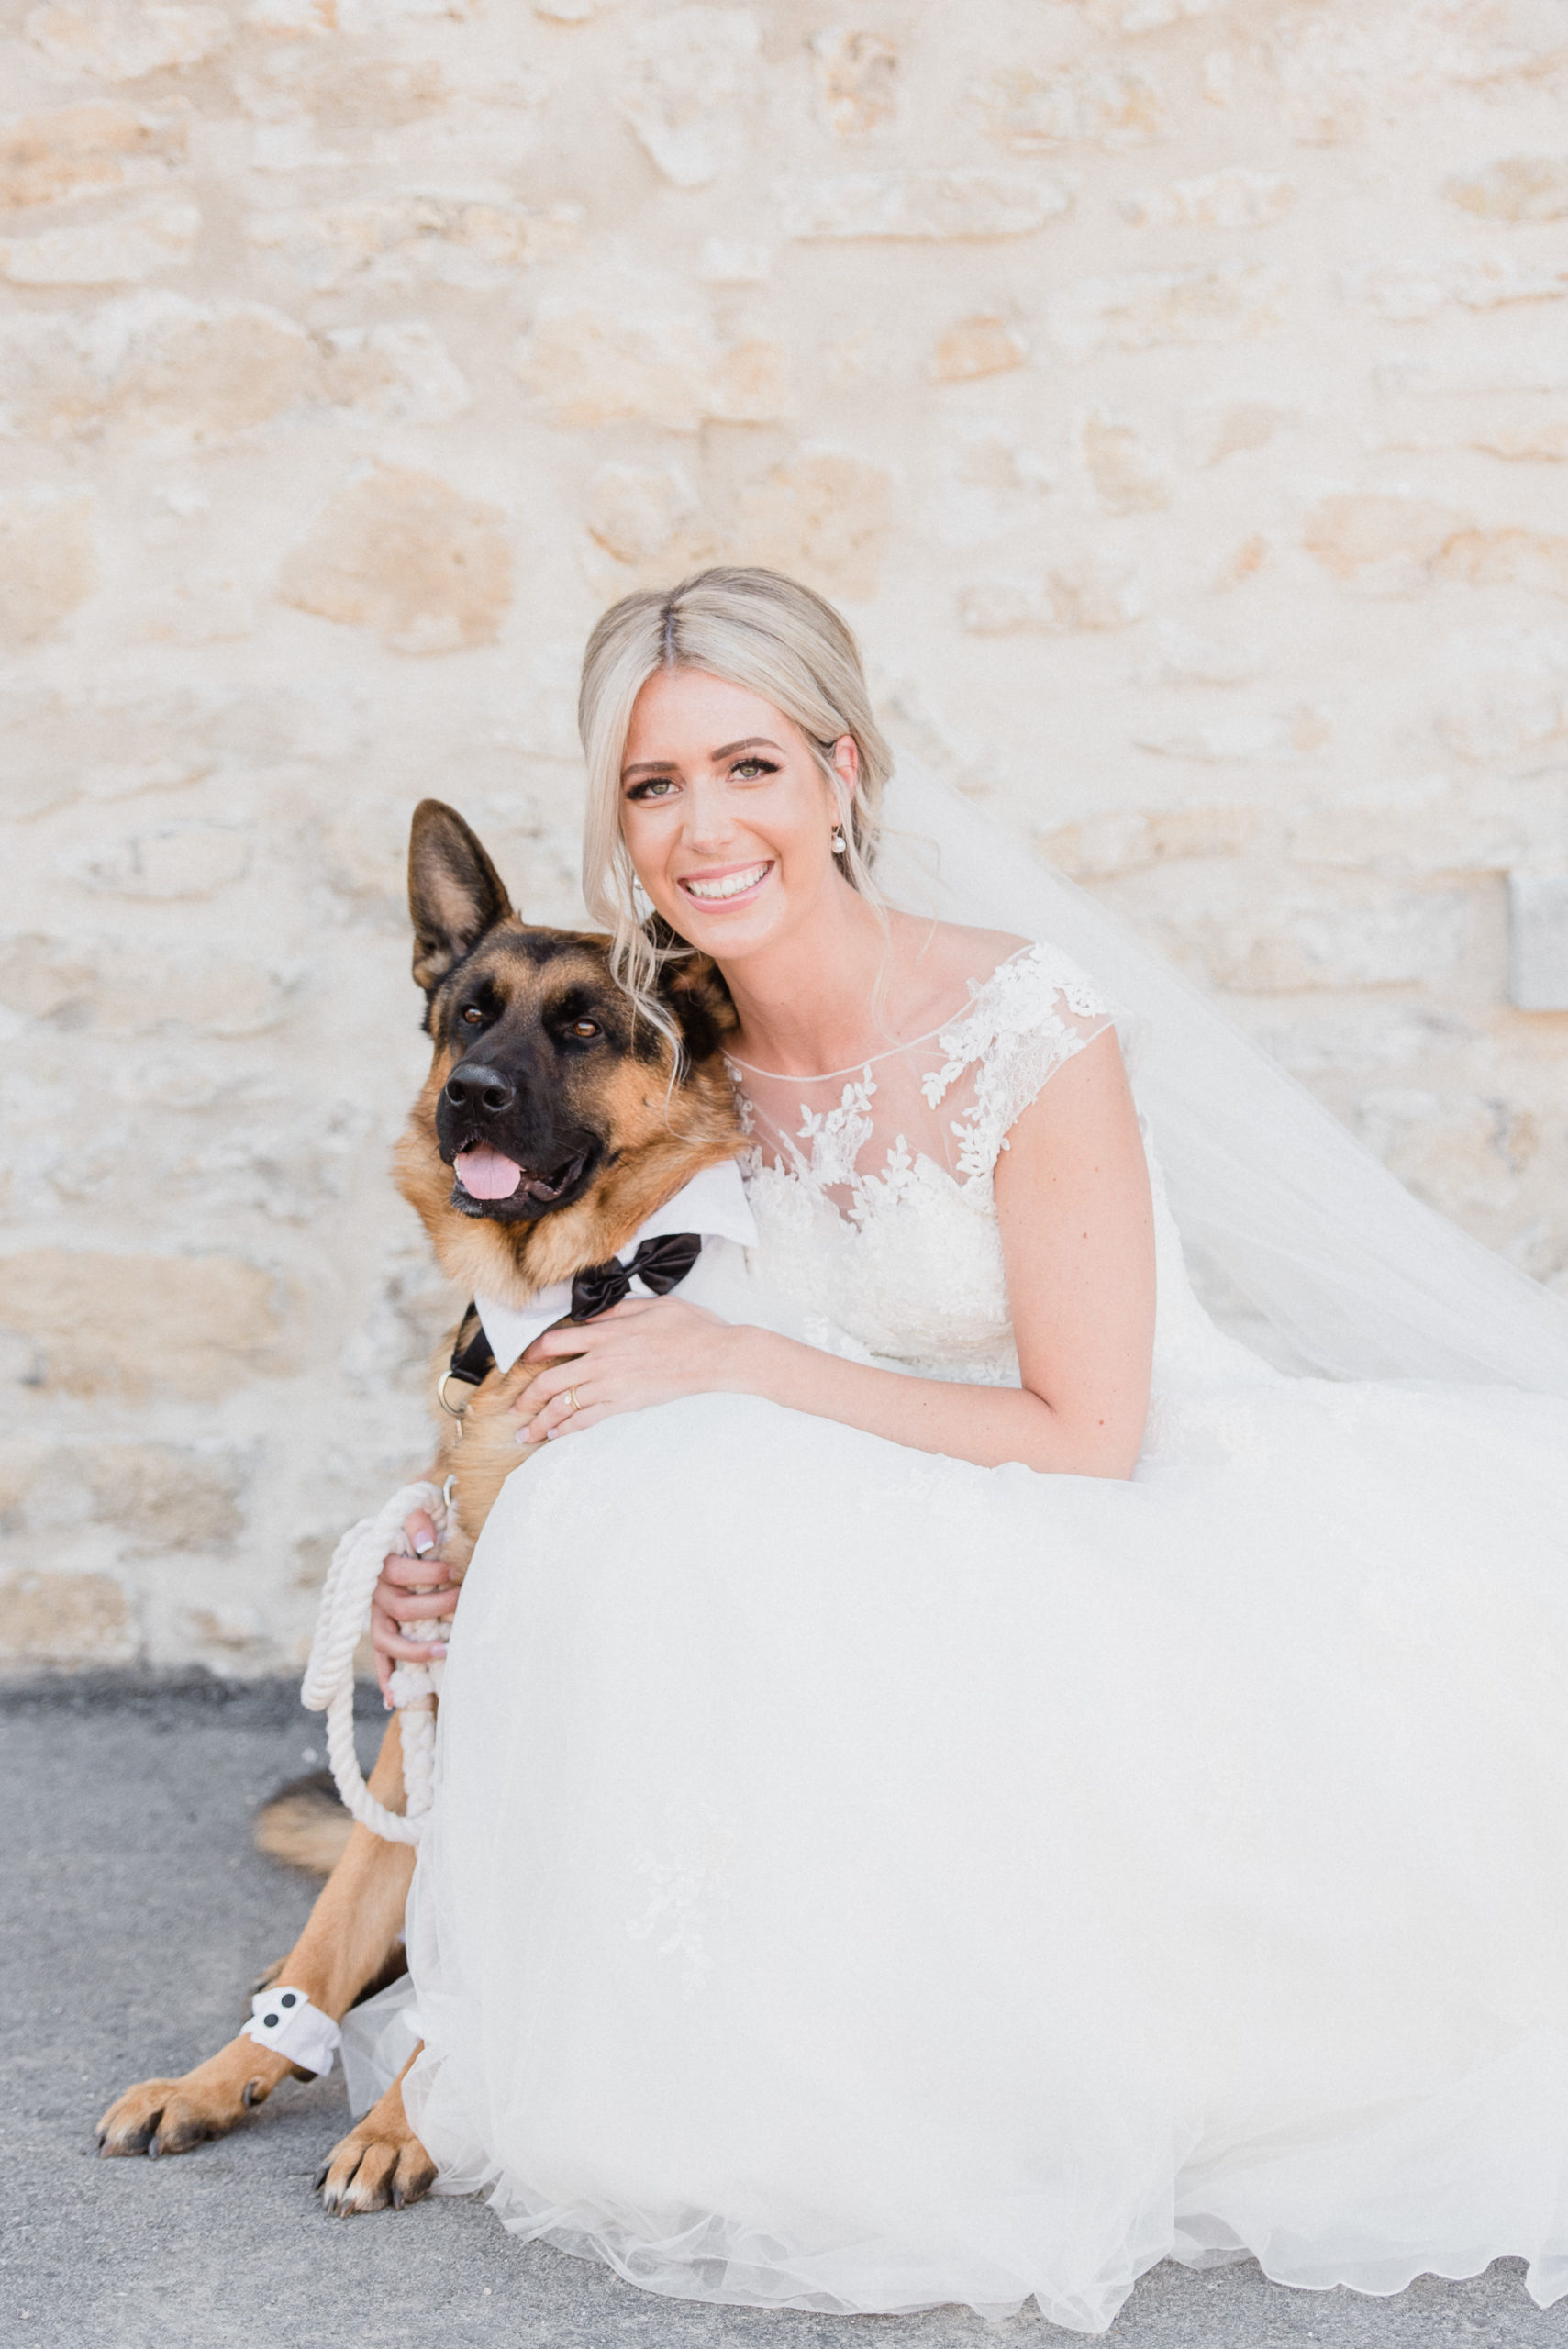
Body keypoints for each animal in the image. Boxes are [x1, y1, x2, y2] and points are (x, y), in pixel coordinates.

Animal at [96, 798, 740, 2211]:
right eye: (468, 1014)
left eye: (584, 1028)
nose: (471, 1097)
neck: (561, 1304)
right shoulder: (431, 1692)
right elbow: (341, 1918)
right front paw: (226, 2074)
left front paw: (409, 2119)